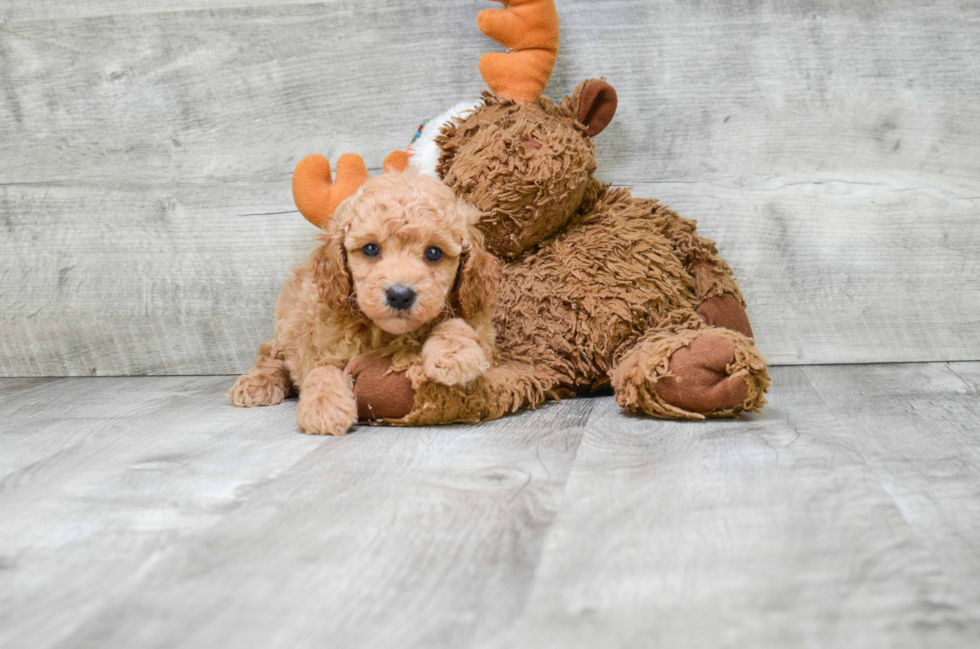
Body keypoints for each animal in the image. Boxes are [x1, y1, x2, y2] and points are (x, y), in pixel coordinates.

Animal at [230, 171, 498, 436]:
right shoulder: (326, 344)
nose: (400, 295)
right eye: (370, 249)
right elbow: (323, 369)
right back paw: (256, 384)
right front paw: (324, 407)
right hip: (285, 327)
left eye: (434, 253)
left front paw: (454, 355)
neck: (391, 334)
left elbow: (458, 324)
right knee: (271, 355)